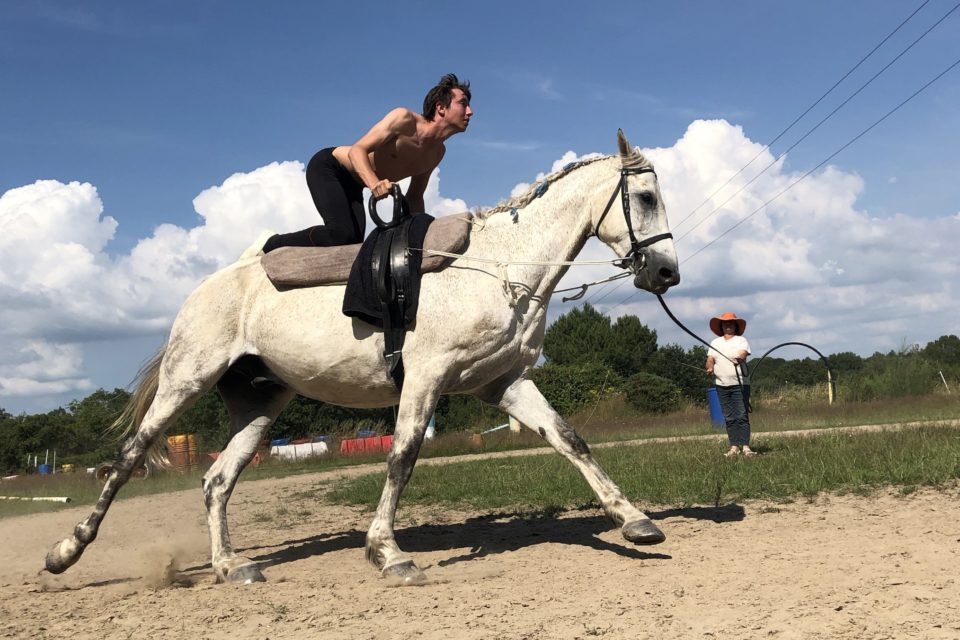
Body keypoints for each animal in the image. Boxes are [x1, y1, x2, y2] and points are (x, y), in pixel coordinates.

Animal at [43, 130, 676, 584]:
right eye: (645, 198)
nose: (667, 273)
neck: (500, 267)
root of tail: (204, 289)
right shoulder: (426, 377)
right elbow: (402, 457)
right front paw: (387, 552)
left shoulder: (504, 382)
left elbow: (570, 440)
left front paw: (634, 521)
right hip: (187, 379)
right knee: (129, 456)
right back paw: (65, 552)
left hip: (259, 404)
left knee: (217, 480)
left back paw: (231, 566)